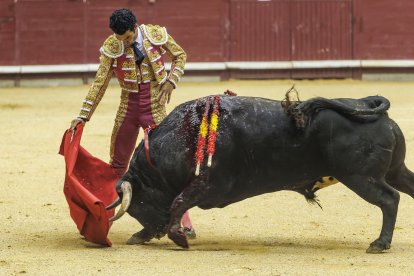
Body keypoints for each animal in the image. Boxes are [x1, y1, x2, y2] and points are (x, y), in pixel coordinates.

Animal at [107, 94, 414, 252]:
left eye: (139, 204)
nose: (152, 232)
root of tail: (368, 104)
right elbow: (177, 203)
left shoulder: (210, 186)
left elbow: (178, 202)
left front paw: (179, 238)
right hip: (394, 171)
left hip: (360, 178)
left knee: (390, 199)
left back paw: (380, 243)